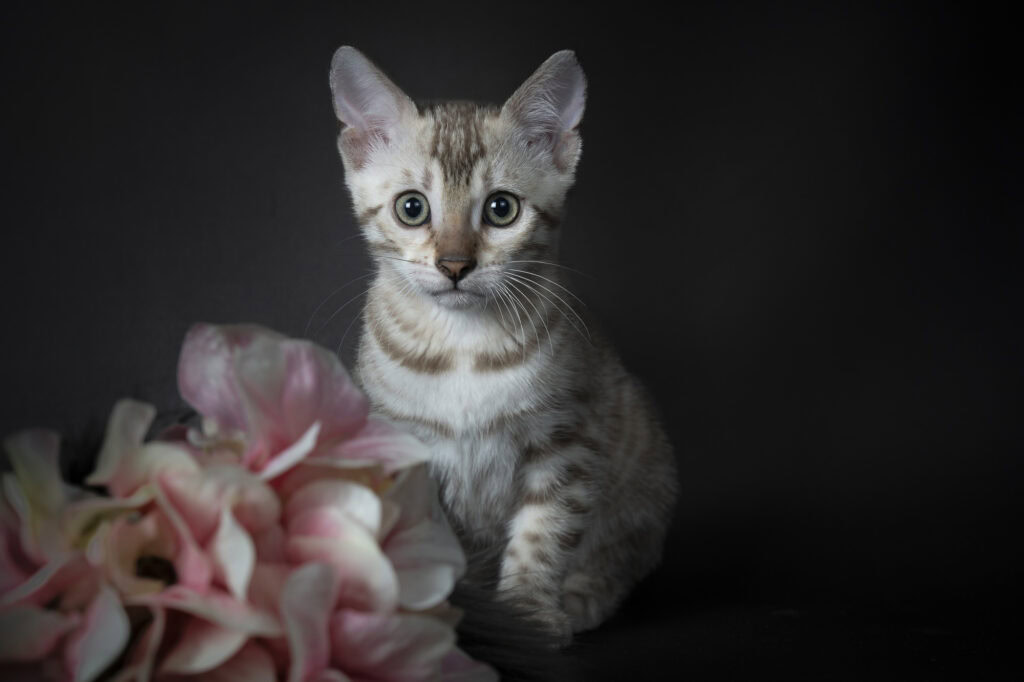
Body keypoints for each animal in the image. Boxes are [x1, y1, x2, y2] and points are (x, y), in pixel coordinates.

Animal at [328, 46, 677, 644]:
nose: (454, 264)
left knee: (622, 556)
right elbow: (435, 546)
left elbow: (543, 534)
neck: (462, 350)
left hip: (647, 474)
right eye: (412, 208)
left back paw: (583, 599)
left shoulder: (567, 441)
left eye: (500, 209)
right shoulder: (407, 447)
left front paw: (529, 615)